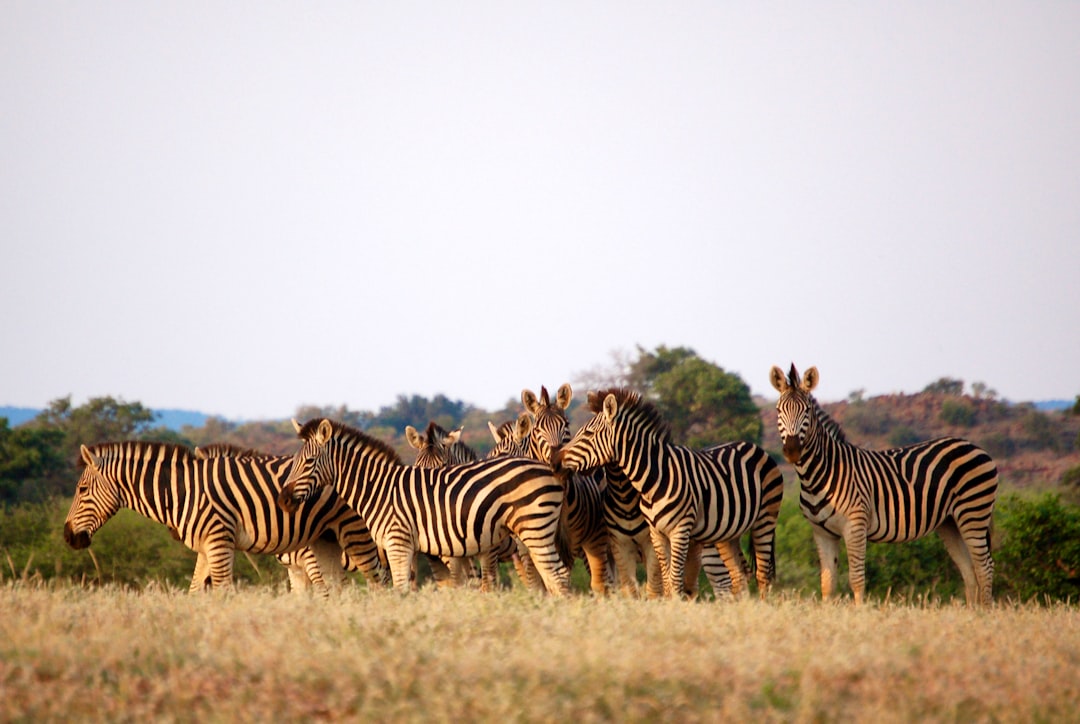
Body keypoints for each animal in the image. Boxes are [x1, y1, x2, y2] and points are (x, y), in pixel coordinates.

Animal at [278, 417, 574, 596]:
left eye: (308, 461)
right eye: (294, 461)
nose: (283, 500)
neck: (379, 488)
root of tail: (547, 469)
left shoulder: (399, 544)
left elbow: (401, 591)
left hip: (533, 530)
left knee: (557, 574)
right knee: (549, 576)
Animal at [557, 391, 786, 600]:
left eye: (587, 434)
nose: (556, 460)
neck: (653, 480)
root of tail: (753, 446)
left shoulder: (679, 530)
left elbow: (674, 579)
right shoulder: (655, 533)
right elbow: (665, 581)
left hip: (765, 519)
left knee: (762, 574)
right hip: (728, 533)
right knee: (740, 575)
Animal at [773, 363, 997, 605]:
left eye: (806, 412)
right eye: (778, 411)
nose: (792, 451)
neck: (818, 476)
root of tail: (974, 446)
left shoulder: (855, 526)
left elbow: (856, 579)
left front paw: (860, 613)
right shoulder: (822, 533)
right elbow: (827, 583)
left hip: (973, 513)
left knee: (984, 567)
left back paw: (983, 612)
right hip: (950, 522)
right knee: (968, 569)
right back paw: (970, 611)